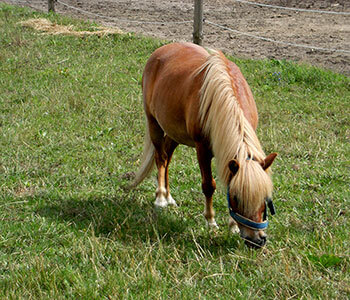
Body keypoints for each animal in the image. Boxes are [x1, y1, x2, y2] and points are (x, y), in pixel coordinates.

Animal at [133, 42, 278, 248]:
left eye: (265, 198)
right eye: (237, 198)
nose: (257, 240)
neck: (222, 97)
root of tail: (160, 51)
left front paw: (233, 226)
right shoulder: (202, 149)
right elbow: (209, 185)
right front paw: (210, 221)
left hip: (174, 133)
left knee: (167, 158)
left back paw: (169, 197)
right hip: (154, 123)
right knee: (160, 158)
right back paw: (161, 198)